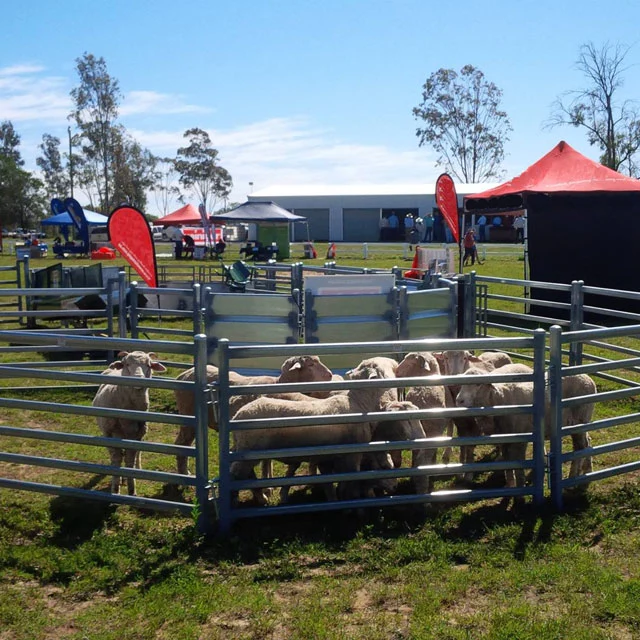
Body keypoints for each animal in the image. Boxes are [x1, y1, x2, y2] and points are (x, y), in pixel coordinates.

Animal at [94, 350, 168, 496]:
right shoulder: (108, 434)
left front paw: (131, 489)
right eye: (127, 364)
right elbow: (116, 459)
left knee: (136, 454)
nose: (138, 378)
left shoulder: (136, 435)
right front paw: (115, 489)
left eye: (148, 365)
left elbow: (130, 459)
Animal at [228, 358, 392, 502]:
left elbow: (333, 484)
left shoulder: (330, 458)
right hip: (249, 449)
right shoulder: (352, 455)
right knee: (235, 474)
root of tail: (237, 415)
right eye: (380, 369)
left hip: (243, 447)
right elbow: (349, 484)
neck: (358, 402)